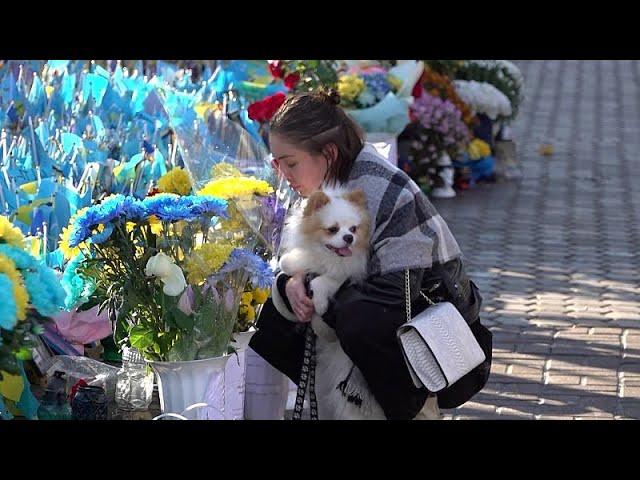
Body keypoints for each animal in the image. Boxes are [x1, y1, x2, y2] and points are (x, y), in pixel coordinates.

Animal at [276, 188, 384, 420]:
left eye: (353, 229)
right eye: (333, 230)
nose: (349, 237)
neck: (329, 259)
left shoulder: (346, 276)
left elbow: (321, 283)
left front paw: (320, 307)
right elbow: (287, 262)